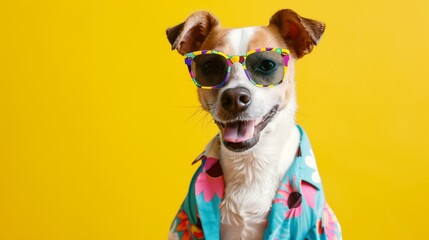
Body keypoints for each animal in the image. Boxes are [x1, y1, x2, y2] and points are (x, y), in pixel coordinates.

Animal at [166, 8, 342, 239]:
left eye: (267, 65)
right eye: (210, 66)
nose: (234, 97)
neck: (252, 162)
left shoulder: (318, 227)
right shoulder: (188, 224)